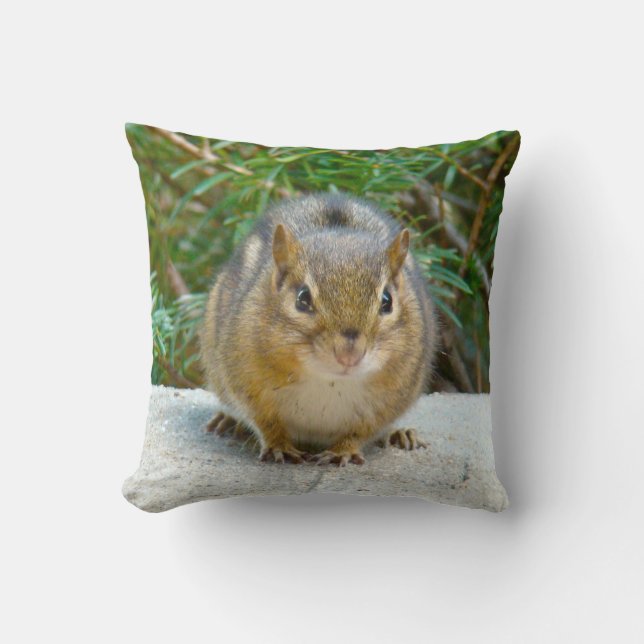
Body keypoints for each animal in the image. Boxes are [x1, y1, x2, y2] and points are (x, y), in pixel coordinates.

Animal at [199, 193, 437, 466]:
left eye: (387, 301)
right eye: (302, 298)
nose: (349, 355)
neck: (329, 381)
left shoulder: (392, 398)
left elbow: (362, 430)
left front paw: (343, 450)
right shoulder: (246, 381)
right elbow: (265, 421)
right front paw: (279, 446)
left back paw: (401, 434)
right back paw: (228, 421)